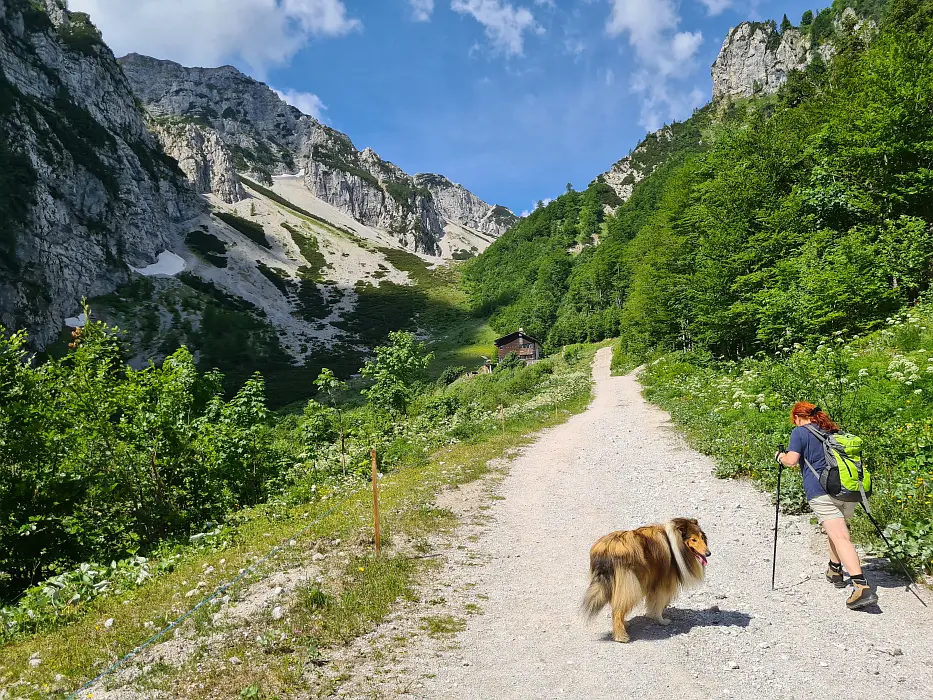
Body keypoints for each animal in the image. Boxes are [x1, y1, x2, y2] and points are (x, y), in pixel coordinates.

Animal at [580, 516, 708, 644]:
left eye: (702, 537)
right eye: (693, 540)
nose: (708, 553)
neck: (674, 542)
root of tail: (606, 550)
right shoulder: (663, 583)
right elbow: (658, 604)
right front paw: (661, 620)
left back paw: (624, 625)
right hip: (630, 585)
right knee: (617, 610)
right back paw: (621, 637)